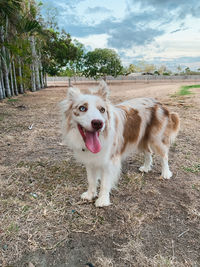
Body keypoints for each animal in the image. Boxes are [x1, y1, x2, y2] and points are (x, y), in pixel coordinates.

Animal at [59, 80, 180, 208]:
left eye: (102, 110)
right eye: (82, 108)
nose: (98, 123)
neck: (102, 137)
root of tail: (159, 103)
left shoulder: (110, 161)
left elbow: (105, 183)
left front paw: (103, 200)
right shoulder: (90, 160)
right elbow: (91, 179)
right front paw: (90, 194)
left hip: (156, 139)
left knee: (164, 156)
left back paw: (166, 173)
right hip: (141, 137)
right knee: (148, 152)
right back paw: (146, 168)